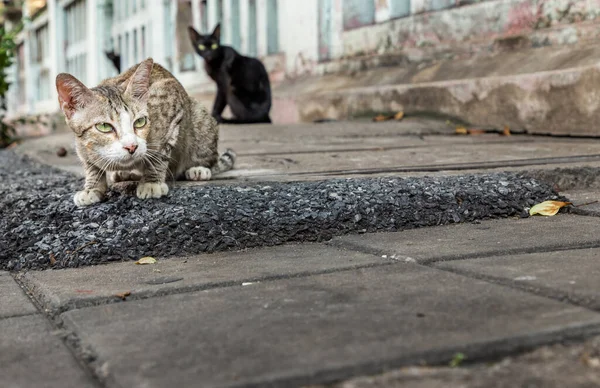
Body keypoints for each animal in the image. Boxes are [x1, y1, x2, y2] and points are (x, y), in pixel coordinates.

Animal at [55, 56, 236, 206]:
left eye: (140, 122)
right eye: (104, 126)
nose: (131, 147)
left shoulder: (171, 97)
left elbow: (160, 153)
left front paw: (151, 181)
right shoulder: (82, 146)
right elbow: (90, 165)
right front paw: (91, 187)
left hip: (200, 120)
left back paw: (199, 169)